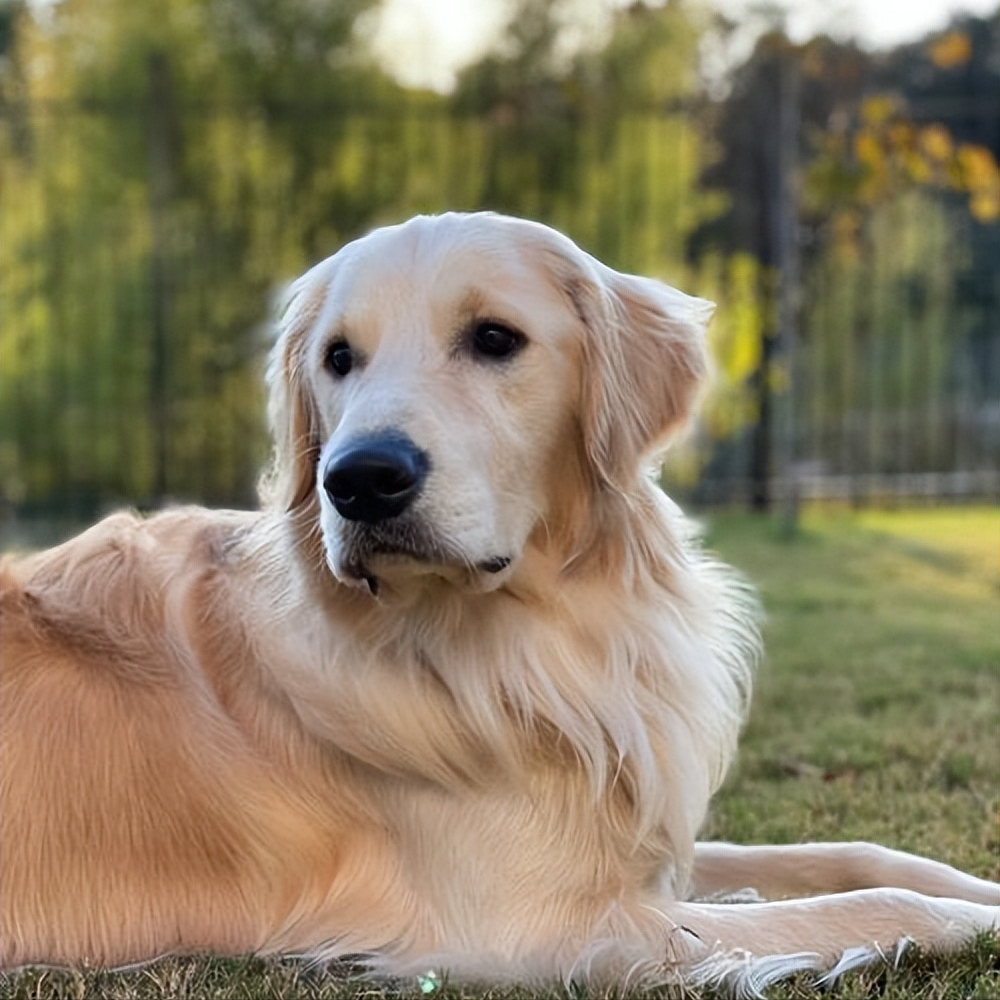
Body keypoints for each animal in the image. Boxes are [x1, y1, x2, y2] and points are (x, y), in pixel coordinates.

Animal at [1, 213, 1000, 992]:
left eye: (494, 339)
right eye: (338, 358)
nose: (358, 481)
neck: (525, 629)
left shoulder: (625, 841)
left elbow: (859, 858)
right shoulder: (550, 926)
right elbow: (875, 902)